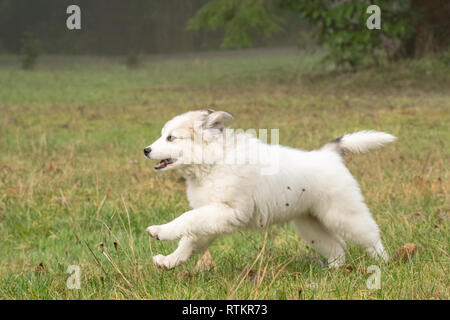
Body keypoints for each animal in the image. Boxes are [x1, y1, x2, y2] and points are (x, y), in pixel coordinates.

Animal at [143, 109, 394, 268]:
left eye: (171, 138)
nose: (146, 150)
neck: (213, 163)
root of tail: (328, 154)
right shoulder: (211, 216)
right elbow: (190, 240)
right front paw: (169, 261)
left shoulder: (228, 210)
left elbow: (186, 219)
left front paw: (161, 231)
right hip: (309, 223)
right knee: (336, 247)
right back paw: (334, 271)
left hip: (343, 213)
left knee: (370, 237)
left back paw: (384, 263)